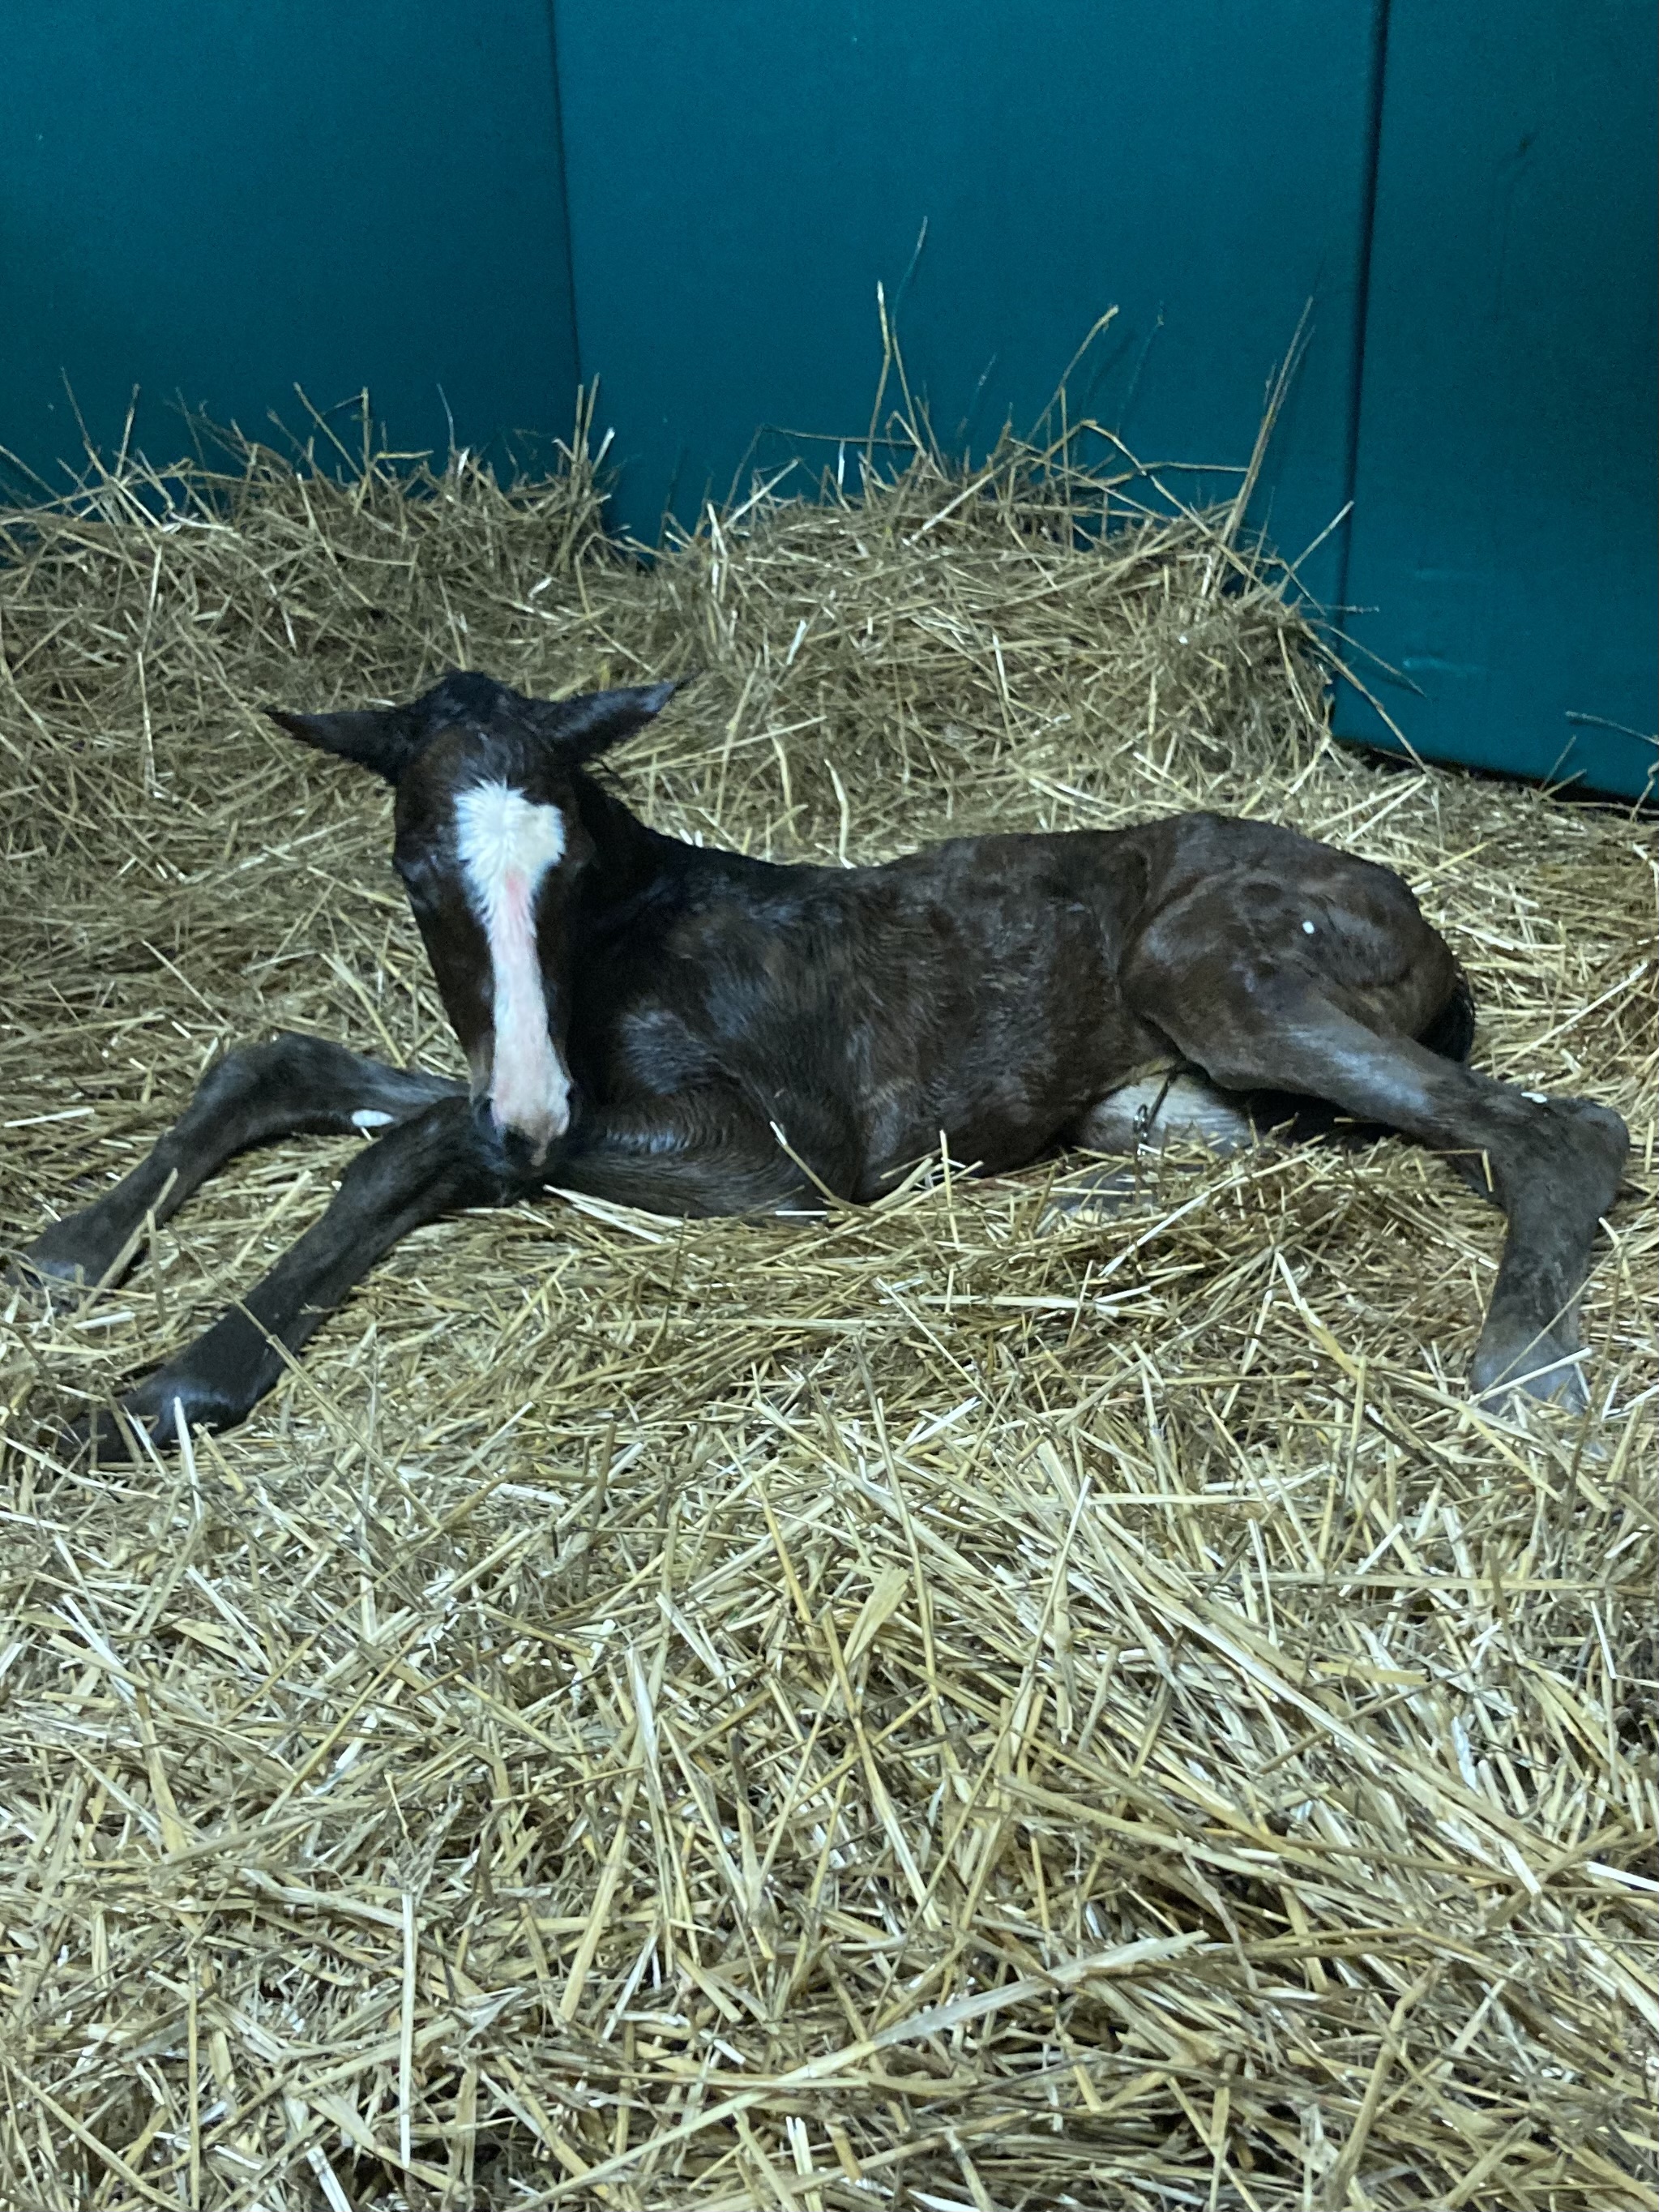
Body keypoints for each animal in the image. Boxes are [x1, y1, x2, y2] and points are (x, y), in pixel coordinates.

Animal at [22, 672, 1636, 1469]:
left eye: (573, 860)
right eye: (418, 873)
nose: (534, 1108)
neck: (619, 948)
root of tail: (1415, 912)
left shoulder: (785, 1152)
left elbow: (406, 1148)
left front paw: (163, 1387)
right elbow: (294, 1062)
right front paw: (75, 1247)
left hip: (1219, 965)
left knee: (1564, 1126)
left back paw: (1522, 1370)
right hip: (1174, 1087)